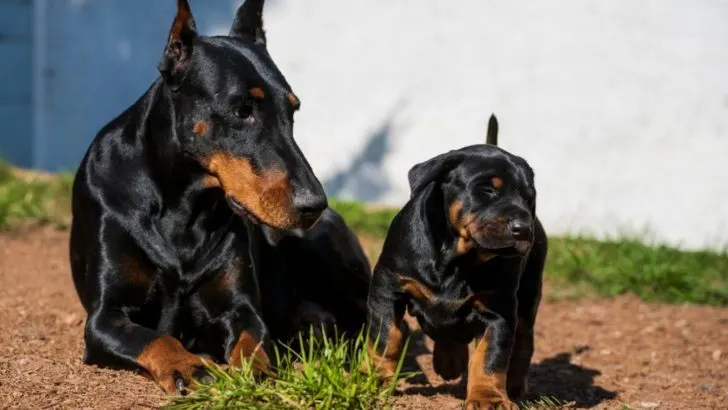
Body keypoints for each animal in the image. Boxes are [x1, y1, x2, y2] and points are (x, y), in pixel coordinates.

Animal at [69, 0, 328, 396]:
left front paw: (256, 371)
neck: (184, 208)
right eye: (242, 111)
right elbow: (156, 338)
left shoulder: (240, 308)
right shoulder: (104, 316)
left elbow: (253, 339)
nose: (314, 205)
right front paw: (188, 365)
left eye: (293, 110)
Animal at [366, 116, 548, 410]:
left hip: (529, 296)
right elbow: (386, 337)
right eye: (487, 190)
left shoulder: (498, 309)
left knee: (523, 342)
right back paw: (449, 360)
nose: (523, 229)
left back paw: (515, 386)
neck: (456, 260)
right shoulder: (387, 287)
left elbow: (490, 357)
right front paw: (375, 379)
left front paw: (489, 398)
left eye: (528, 198)